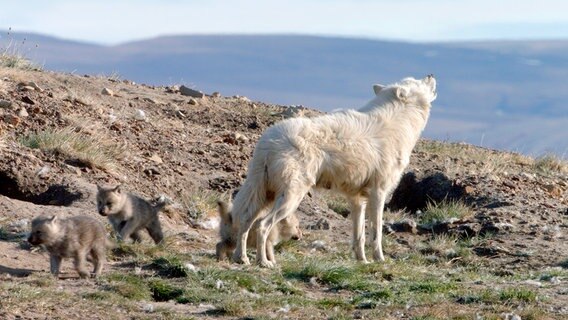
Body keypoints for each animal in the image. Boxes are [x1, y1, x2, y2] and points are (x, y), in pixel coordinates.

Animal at [231, 75, 440, 268]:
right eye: (417, 81)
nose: (430, 74)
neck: (398, 124)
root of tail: (268, 142)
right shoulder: (378, 194)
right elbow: (376, 233)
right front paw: (379, 260)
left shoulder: (357, 200)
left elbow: (359, 236)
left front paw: (362, 261)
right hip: (290, 198)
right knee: (262, 225)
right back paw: (263, 262)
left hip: (265, 195)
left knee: (245, 220)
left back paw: (242, 258)